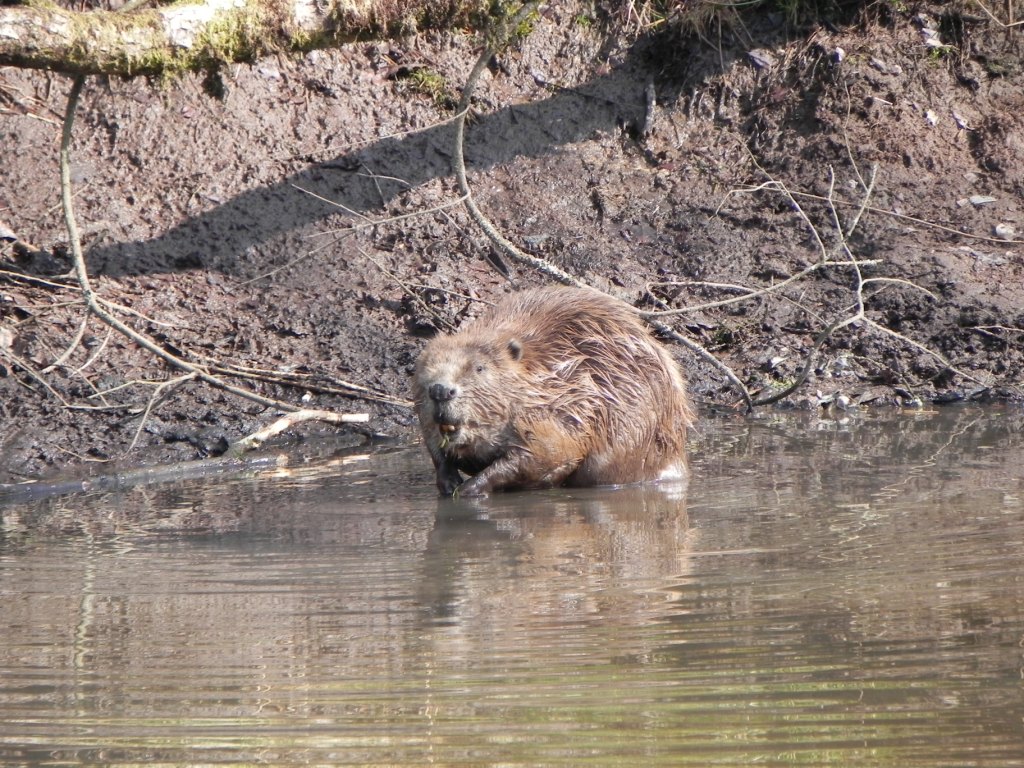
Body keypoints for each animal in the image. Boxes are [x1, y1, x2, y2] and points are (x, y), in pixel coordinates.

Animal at [411, 288, 692, 499]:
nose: (440, 390)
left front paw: (470, 489)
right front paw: (449, 482)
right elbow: (435, 448)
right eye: (426, 365)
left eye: (479, 367)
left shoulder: (551, 415)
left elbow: (546, 456)